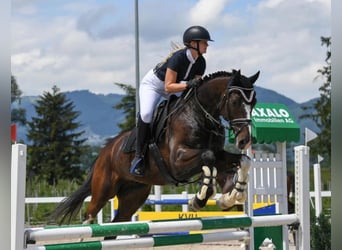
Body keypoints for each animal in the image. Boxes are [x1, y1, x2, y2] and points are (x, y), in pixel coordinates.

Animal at [50, 68, 260, 227]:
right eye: (235, 102)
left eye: (254, 102)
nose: (245, 141)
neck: (200, 115)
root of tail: (104, 152)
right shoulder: (178, 162)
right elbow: (208, 157)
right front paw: (200, 198)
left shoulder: (219, 154)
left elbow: (243, 160)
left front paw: (232, 196)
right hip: (103, 190)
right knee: (90, 214)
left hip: (134, 195)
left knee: (117, 224)